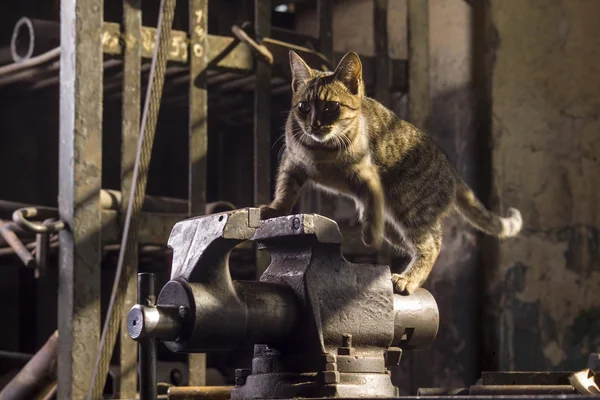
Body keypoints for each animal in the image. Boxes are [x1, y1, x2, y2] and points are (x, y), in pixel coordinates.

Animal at [260, 49, 524, 294]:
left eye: (331, 107)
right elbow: (285, 189)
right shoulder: (291, 162)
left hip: (412, 209)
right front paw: (276, 209)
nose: (314, 124)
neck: (322, 151)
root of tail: (451, 169)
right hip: (396, 227)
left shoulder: (367, 176)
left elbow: (371, 208)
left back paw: (408, 278)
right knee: (422, 243)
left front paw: (369, 233)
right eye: (303, 107)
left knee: (432, 245)